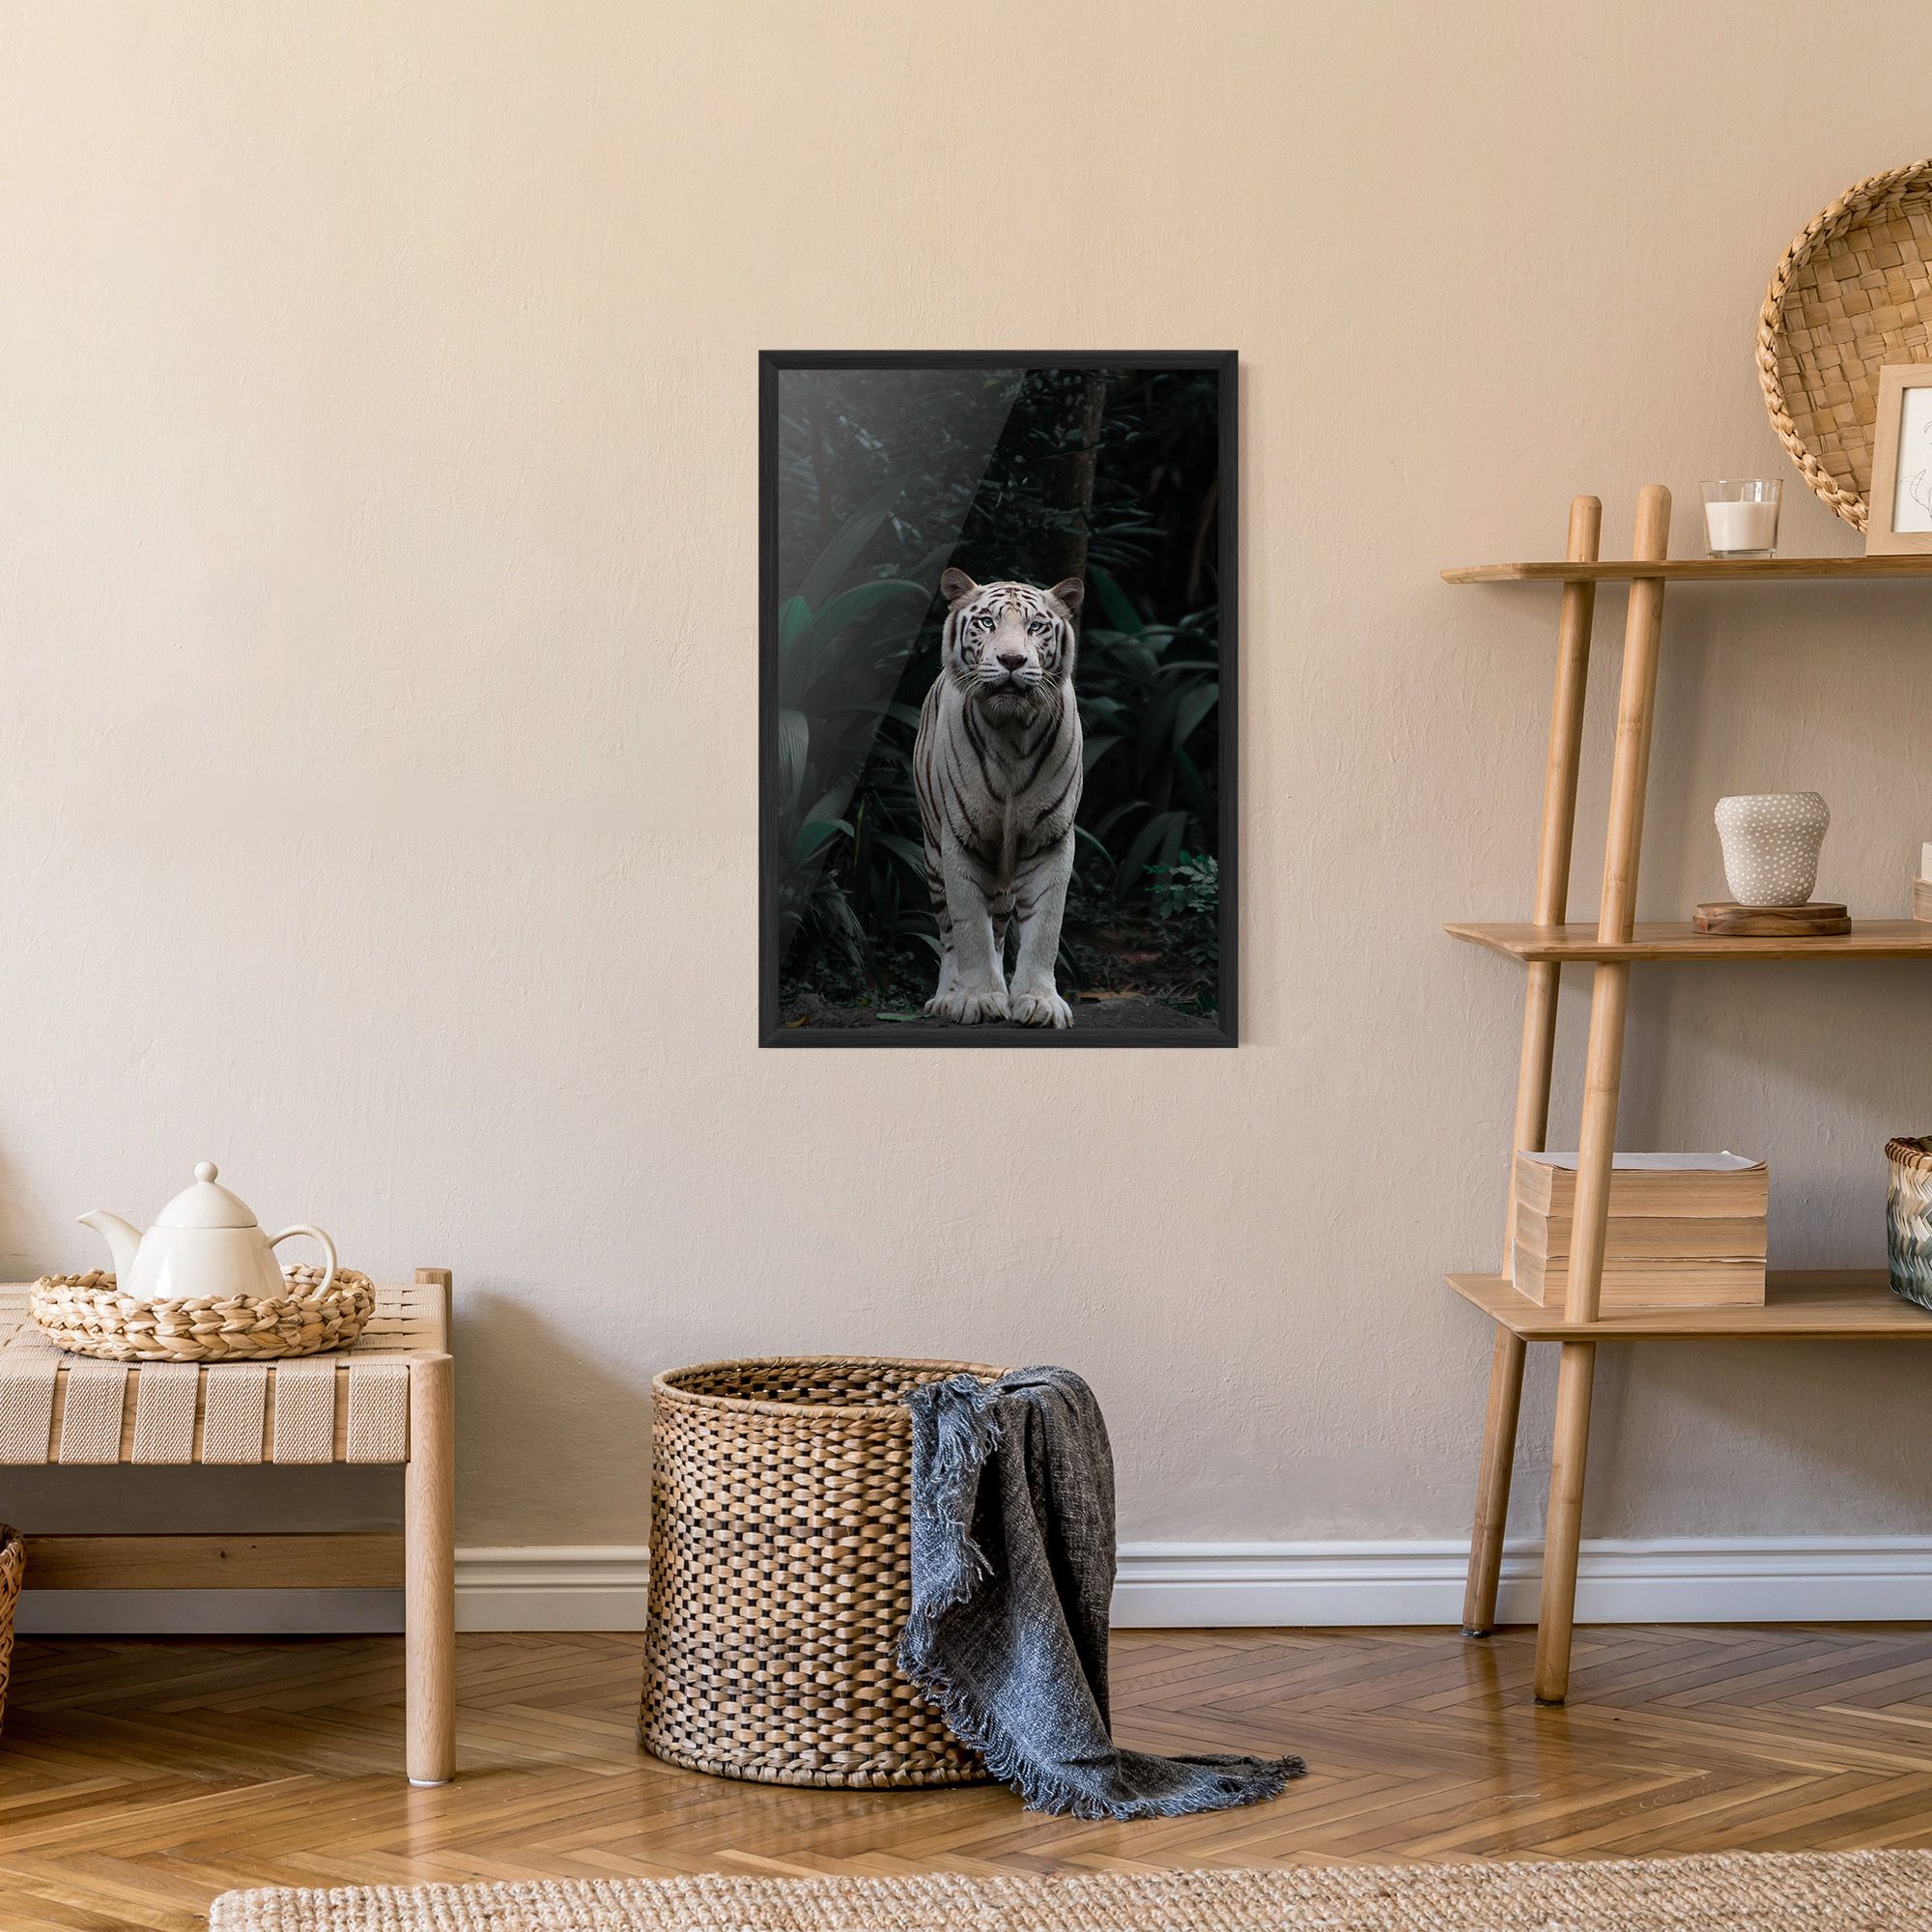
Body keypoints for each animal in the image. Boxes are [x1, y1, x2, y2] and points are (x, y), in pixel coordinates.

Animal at [913, 567, 1085, 1027]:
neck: (1011, 733)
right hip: (933, 853)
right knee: (950, 932)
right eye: (987, 622)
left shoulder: (1051, 839)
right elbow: (969, 927)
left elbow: (1045, 928)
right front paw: (976, 999)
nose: (1011, 661)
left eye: (1036, 626)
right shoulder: (960, 839)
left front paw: (1039, 1002)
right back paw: (948, 997)